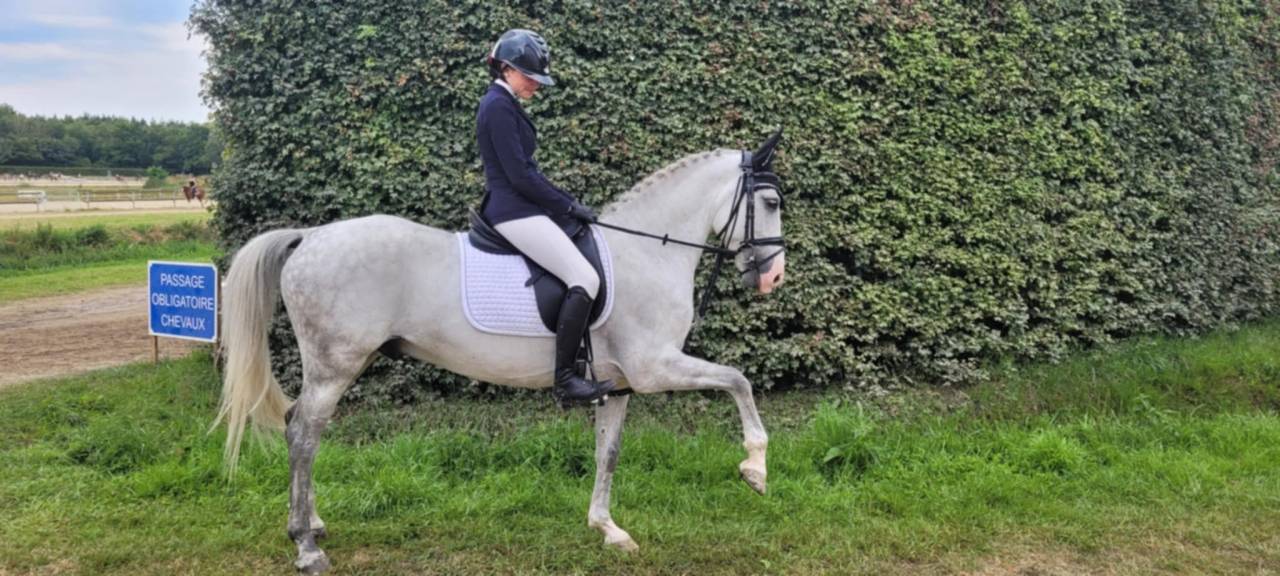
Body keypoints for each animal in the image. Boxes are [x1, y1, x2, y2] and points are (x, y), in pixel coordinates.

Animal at [215, 131, 787, 573]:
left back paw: (314, 525)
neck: (646, 251)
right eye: (771, 203)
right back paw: (306, 547)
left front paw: (608, 529)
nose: (773, 278)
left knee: (301, 427)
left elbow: (608, 453)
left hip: (337, 364)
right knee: (303, 433)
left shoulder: (621, 384)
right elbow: (739, 379)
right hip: (336, 366)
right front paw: (756, 469)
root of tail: (310, 236)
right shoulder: (654, 367)